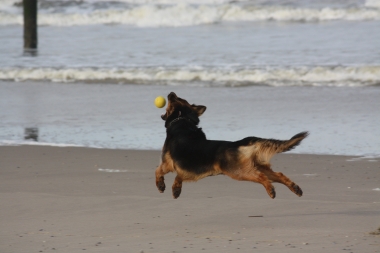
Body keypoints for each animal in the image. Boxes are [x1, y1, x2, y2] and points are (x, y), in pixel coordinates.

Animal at [156, 92, 308, 199]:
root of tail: (239, 143)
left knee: (260, 177)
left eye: (175, 98)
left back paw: (270, 190)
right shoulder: (185, 170)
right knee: (279, 174)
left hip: (238, 171)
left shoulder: (167, 163)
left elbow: (158, 171)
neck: (182, 120)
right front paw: (176, 189)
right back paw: (295, 188)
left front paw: (161, 185)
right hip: (257, 166)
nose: (171, 92)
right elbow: (178, 177)